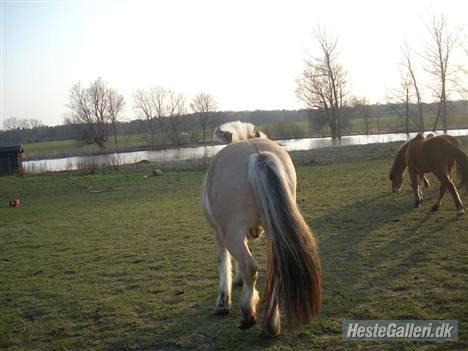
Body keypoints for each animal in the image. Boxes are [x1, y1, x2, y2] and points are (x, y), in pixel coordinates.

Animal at [201, 121, 322, 338]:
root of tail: (258, 155)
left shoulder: (218, 234)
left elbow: (223, 262)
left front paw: (223, 302)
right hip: (273, 232)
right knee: (276, 270)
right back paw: (271, 325)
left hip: (232, 234)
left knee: (250, 267)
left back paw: (247, 315)